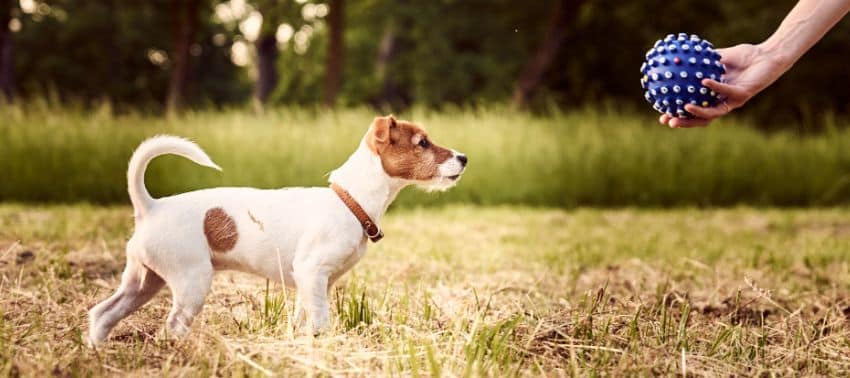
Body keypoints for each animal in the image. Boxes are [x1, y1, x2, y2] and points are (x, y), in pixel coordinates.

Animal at [88, 116, 464, 346]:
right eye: (423, 143)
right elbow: (322, 320)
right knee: (172, 325)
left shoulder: (311, 283)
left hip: (142, 281)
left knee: (102, 314)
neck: (350, 200)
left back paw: (97, 350)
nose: (464, 158)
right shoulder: (312, 272)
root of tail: (150, 207)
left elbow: (304, 318)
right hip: (191, 281)